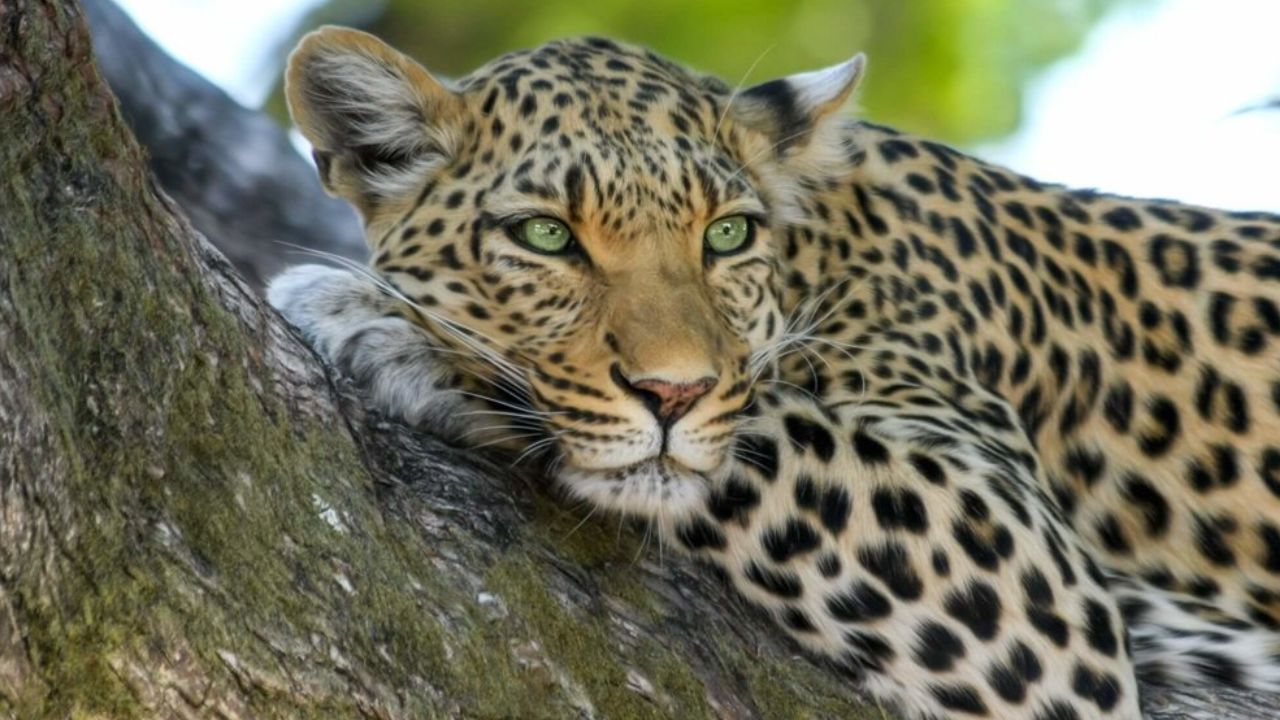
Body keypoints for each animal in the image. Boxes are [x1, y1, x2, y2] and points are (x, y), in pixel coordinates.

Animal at [267, 25, 1280, 719]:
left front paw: (383, 323)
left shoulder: (1030, 573)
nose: (672, 393)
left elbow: (765, 425)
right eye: (547, 236)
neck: (822, 250)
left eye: (726, 235)